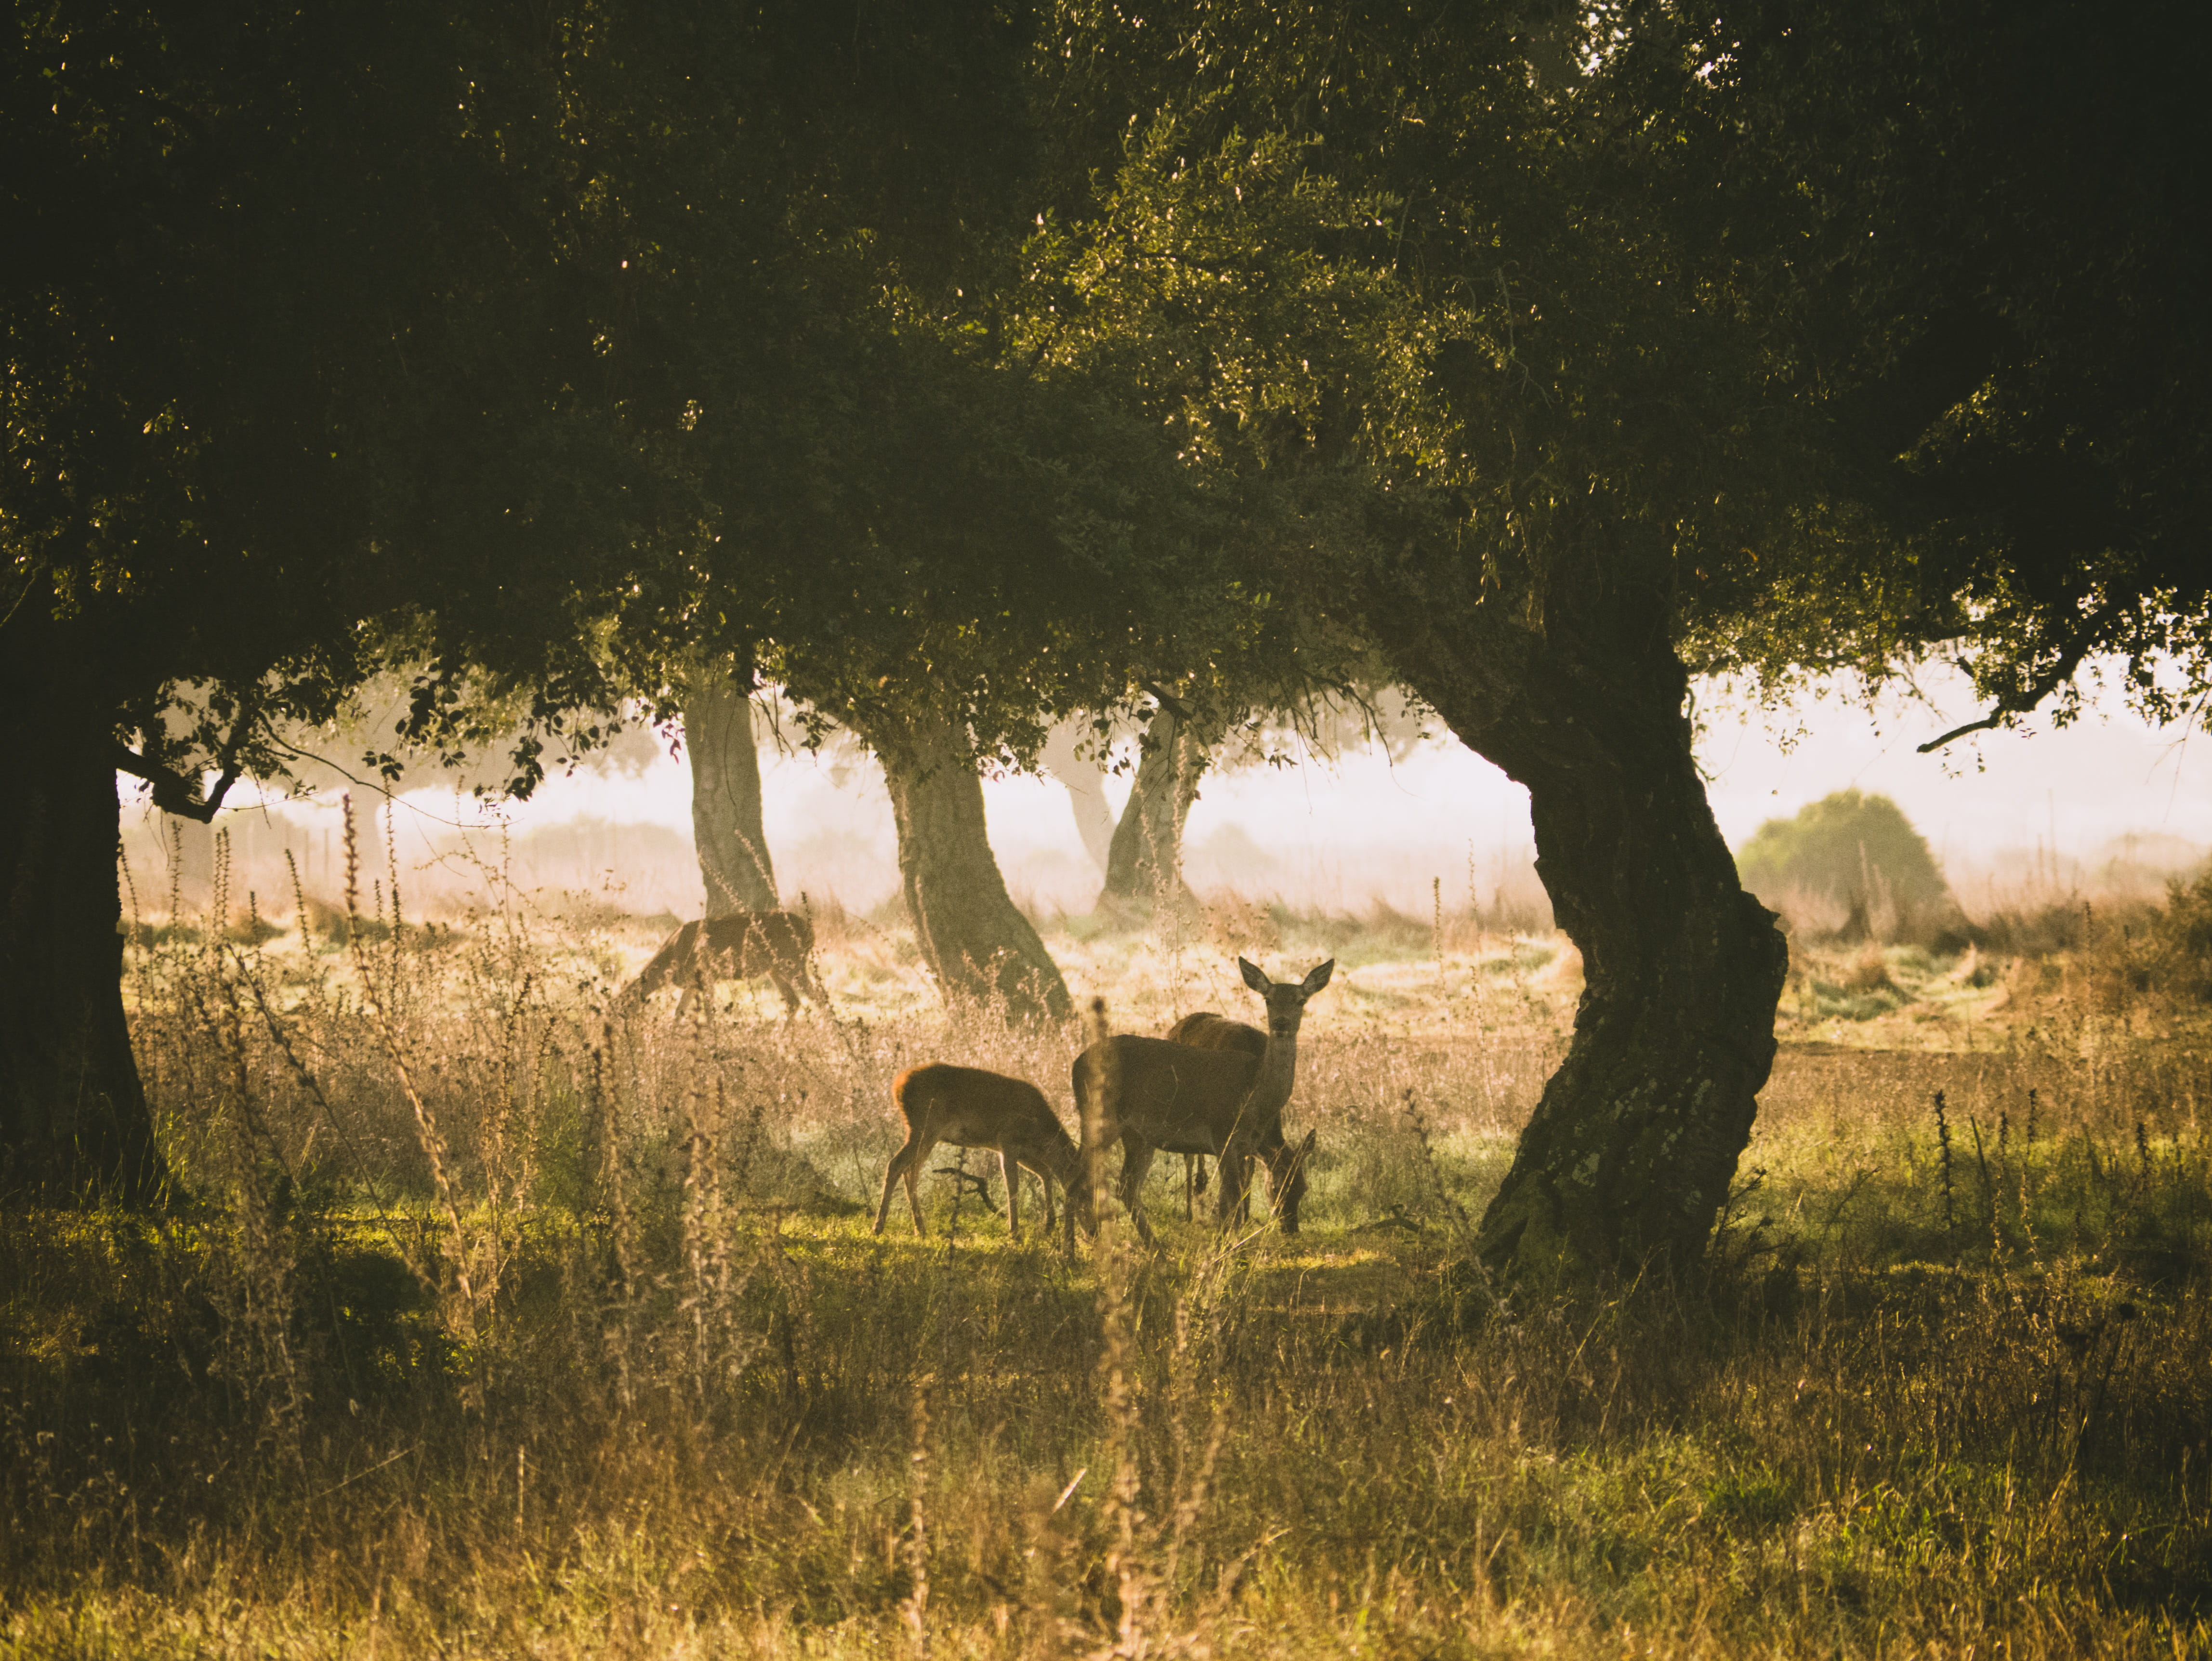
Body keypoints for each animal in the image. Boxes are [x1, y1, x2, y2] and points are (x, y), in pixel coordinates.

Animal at [616, 911, 829, 1017]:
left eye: (619, 1012)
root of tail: (811, 933)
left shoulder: (707, 975)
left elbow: (709, 1013)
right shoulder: (693, 983)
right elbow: (678, 1012)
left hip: (792, 962)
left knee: (820, 998)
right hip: (775, 968)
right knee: (794, 1001)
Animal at [874, 1063, 1087, 1242]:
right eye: (1085, 1193)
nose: (1092, 1232)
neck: (1039, 1131)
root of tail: (898, 1086)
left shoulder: (1025, 1154)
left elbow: (1045, 1173)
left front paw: (1048, 1226)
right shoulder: (1007, 1141)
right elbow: (1013, 1185)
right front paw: (1015, 1233)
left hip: (926, 1135)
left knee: (911, 1170)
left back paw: (920, 1228)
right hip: (925, 1127)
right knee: (896, 1164)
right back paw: (879, 1227)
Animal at [1074, 958, 1332, 1240]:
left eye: (1301, 1000)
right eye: (1268, 999)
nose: (1282, 1023)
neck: (1254, 1093)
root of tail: (1076, 1064)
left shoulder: (1244, 1148)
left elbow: (1234, 1199)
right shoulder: (1223, 1136)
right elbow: (1230, 1204)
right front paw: (1227, 1246)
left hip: (1138, 1135)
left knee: (1124, 1186)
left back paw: (1152, 1247)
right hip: (1101, 1118)